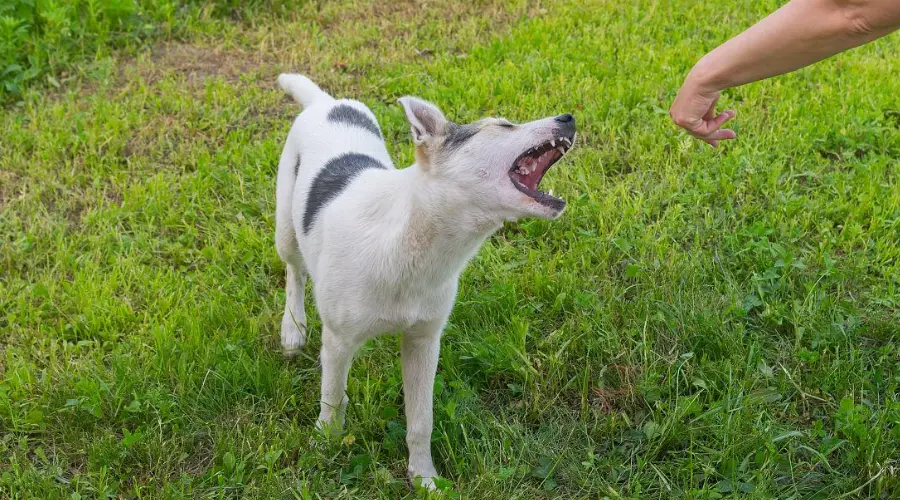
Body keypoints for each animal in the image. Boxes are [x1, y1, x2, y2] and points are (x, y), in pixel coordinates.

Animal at [270, 74, 576, 488]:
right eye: (503, 125)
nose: (569, 118)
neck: (409, 239)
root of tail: (326, 102)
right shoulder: (337, 342)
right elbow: (333, 398)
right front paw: (325, 445)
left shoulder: (424, 342)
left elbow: (421, 419)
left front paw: (424, 477)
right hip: (285, 225)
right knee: (294, 271)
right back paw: (293, 328)